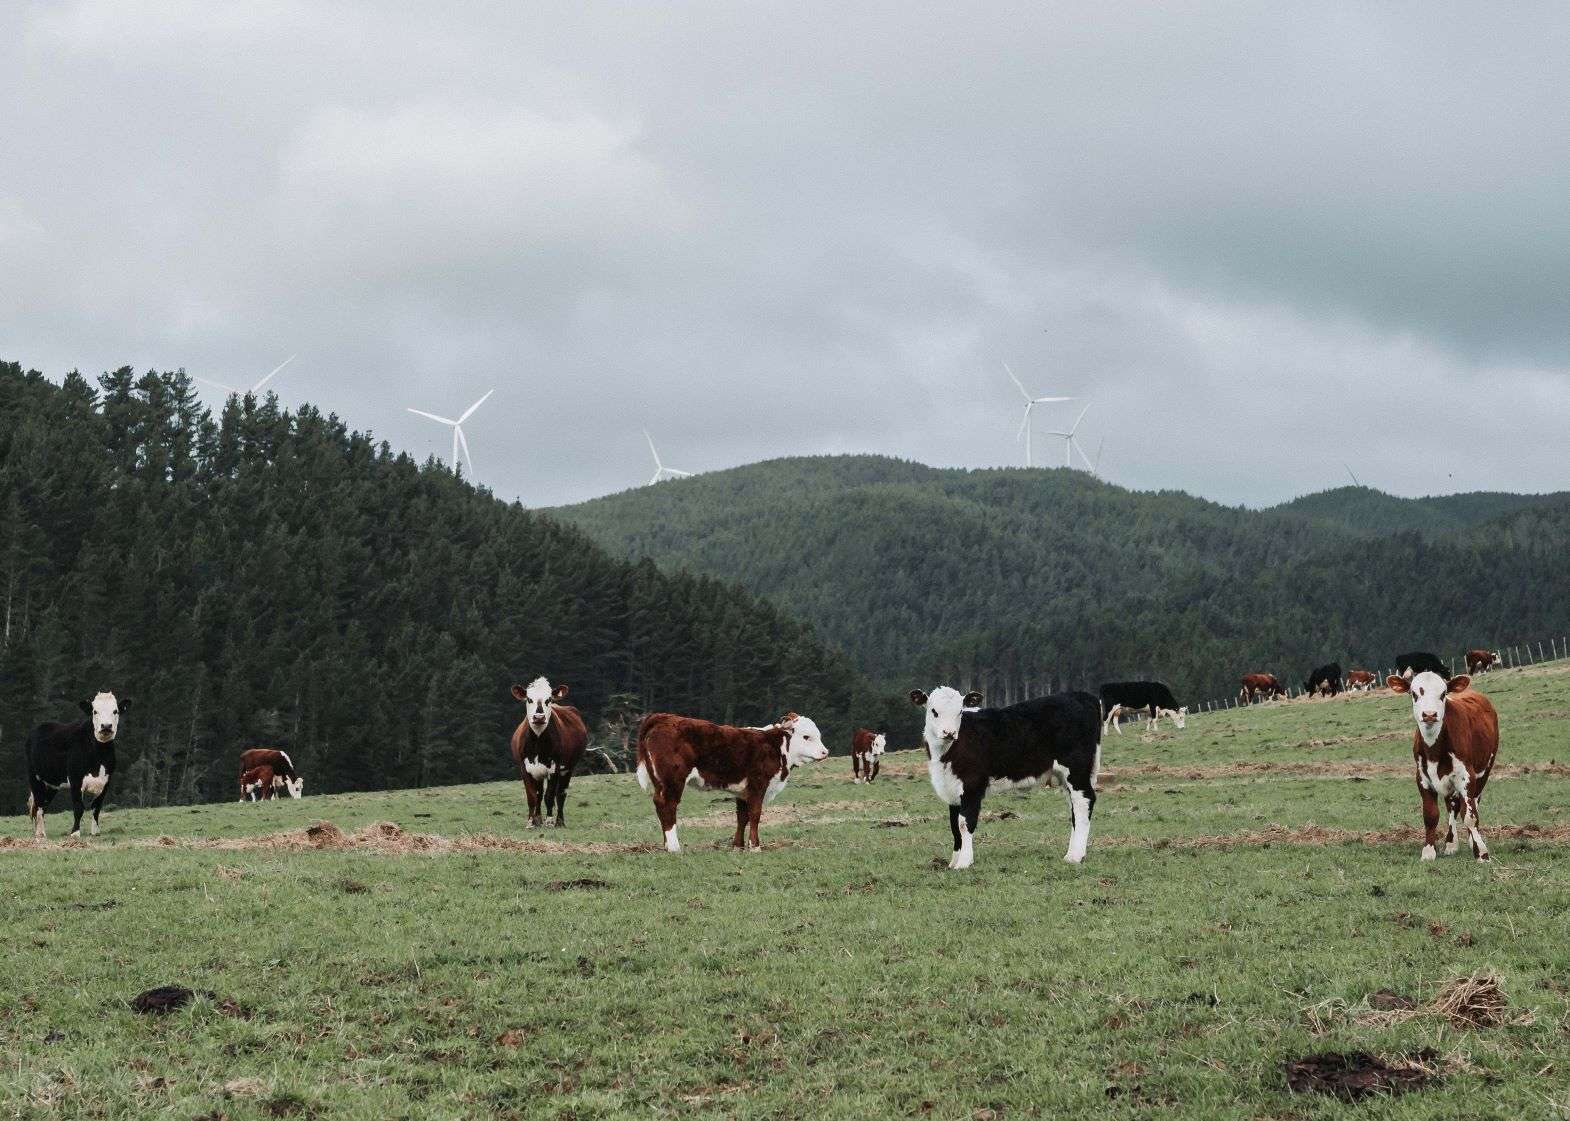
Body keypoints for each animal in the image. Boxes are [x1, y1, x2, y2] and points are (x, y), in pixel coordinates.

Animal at [26, 690, 127, 841]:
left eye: (116, 711)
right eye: (95, 711)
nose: (106, 726)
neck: (99, 757)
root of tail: (40, 726)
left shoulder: (106, 782)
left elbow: (96, 807)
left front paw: (95, 832)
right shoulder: (75, 779)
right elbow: (79, 807)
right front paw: (75, 833)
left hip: (52, 784)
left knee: (43, 806)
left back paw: (40, 832)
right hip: (35, 778)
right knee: (38, 805)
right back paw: (40, 834)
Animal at [508, 678, 590, 822]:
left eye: (549, 699)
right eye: (529, 699)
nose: (539, 717)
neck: (537, 743)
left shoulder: (554, 768)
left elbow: (550, 796)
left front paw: (550, 821)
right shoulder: (525, 769)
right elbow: (532, 796)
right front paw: (531, 821)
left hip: (568, 768)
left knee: (561, 793)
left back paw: (559, 822)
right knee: (539, 793)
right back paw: (538, 819)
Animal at [637, 712, 835, 854]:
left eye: (818, 735)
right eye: (806, 737)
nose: (825, 752)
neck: (775, 747)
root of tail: (663, 717)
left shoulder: (743, 791)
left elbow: (742, 817)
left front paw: (737, 846)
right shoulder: (758, 785)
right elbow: (755, 815)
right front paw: (755, 846)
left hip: (660, 782)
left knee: (659, 804)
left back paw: (666, 845)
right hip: (673, 780)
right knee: (668, 806)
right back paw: (674, 847)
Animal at [910, 681, 1105, 866]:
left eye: (959, 712)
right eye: (934, 711)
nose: (949, 733)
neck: (946, 754)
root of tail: (1082, 695)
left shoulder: (972, 785)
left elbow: (965, 823)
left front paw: (964, 862)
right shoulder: (951, 788)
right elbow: (953, 825)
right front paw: (953, 862)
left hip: (1076, 768)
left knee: (1084, 801)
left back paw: (1075, 856)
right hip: (1065, 776)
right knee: (1074, 806)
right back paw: (1073, 853)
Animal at [1387, 668, 1494, 860]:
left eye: (1443, 694)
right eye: (1414, 693)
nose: (1429, 714)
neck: (1434, 750)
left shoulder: (1467, 776)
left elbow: (1470, 815)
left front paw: (1481, 852)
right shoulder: (1422, 778)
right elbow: (1430, 815)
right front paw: (1429, 851)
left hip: (1484, 772)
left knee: (1472, 803)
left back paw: (1471, 840)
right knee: (1452, 807)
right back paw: (1451, 843)